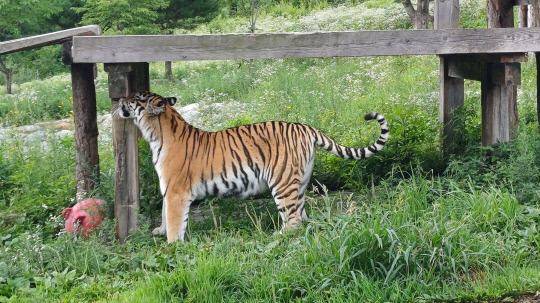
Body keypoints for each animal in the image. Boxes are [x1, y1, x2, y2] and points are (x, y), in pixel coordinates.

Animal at [117, 91, 388, 245]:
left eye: (136, 98)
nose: (119, 99)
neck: (155, 133)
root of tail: (305, 127)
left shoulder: (176, 191)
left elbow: (175, 220)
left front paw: (172, 246)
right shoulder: (168, 189)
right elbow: (165, 214)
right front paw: (160, 232)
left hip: (282, 181)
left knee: (292, 220)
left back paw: (279, 237)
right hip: (300, 182)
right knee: (301, 216)